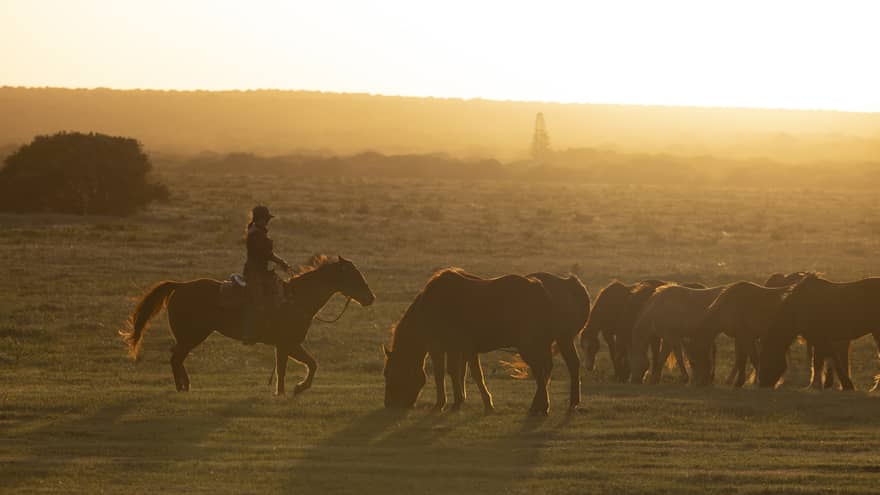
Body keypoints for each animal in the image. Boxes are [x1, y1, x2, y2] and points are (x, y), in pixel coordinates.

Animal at [120, 255, 375, 395]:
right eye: (353, 275)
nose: (370, 298)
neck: (296, 298)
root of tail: (180, 286)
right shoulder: (290, 343)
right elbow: (311, 364)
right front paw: (298, 388)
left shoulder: (283, 346)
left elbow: (285, 369)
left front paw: (282, 392)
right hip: (192, 336)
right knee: (175, 358)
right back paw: (183, 387)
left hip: (190, 337)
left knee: (177, 358)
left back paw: (185, 385)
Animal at [382, 268, 561, 415]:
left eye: (391, 373)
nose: (389, 404)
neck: (430, 308)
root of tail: (539, 289)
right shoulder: (465, 349)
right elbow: (467, 373)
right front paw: (464, 400)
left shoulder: (440, 348)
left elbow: (447, 373)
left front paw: (444, 404)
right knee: (545, 370)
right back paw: (539, 406)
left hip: (529, 346)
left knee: (540, 371)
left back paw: (540, 407)